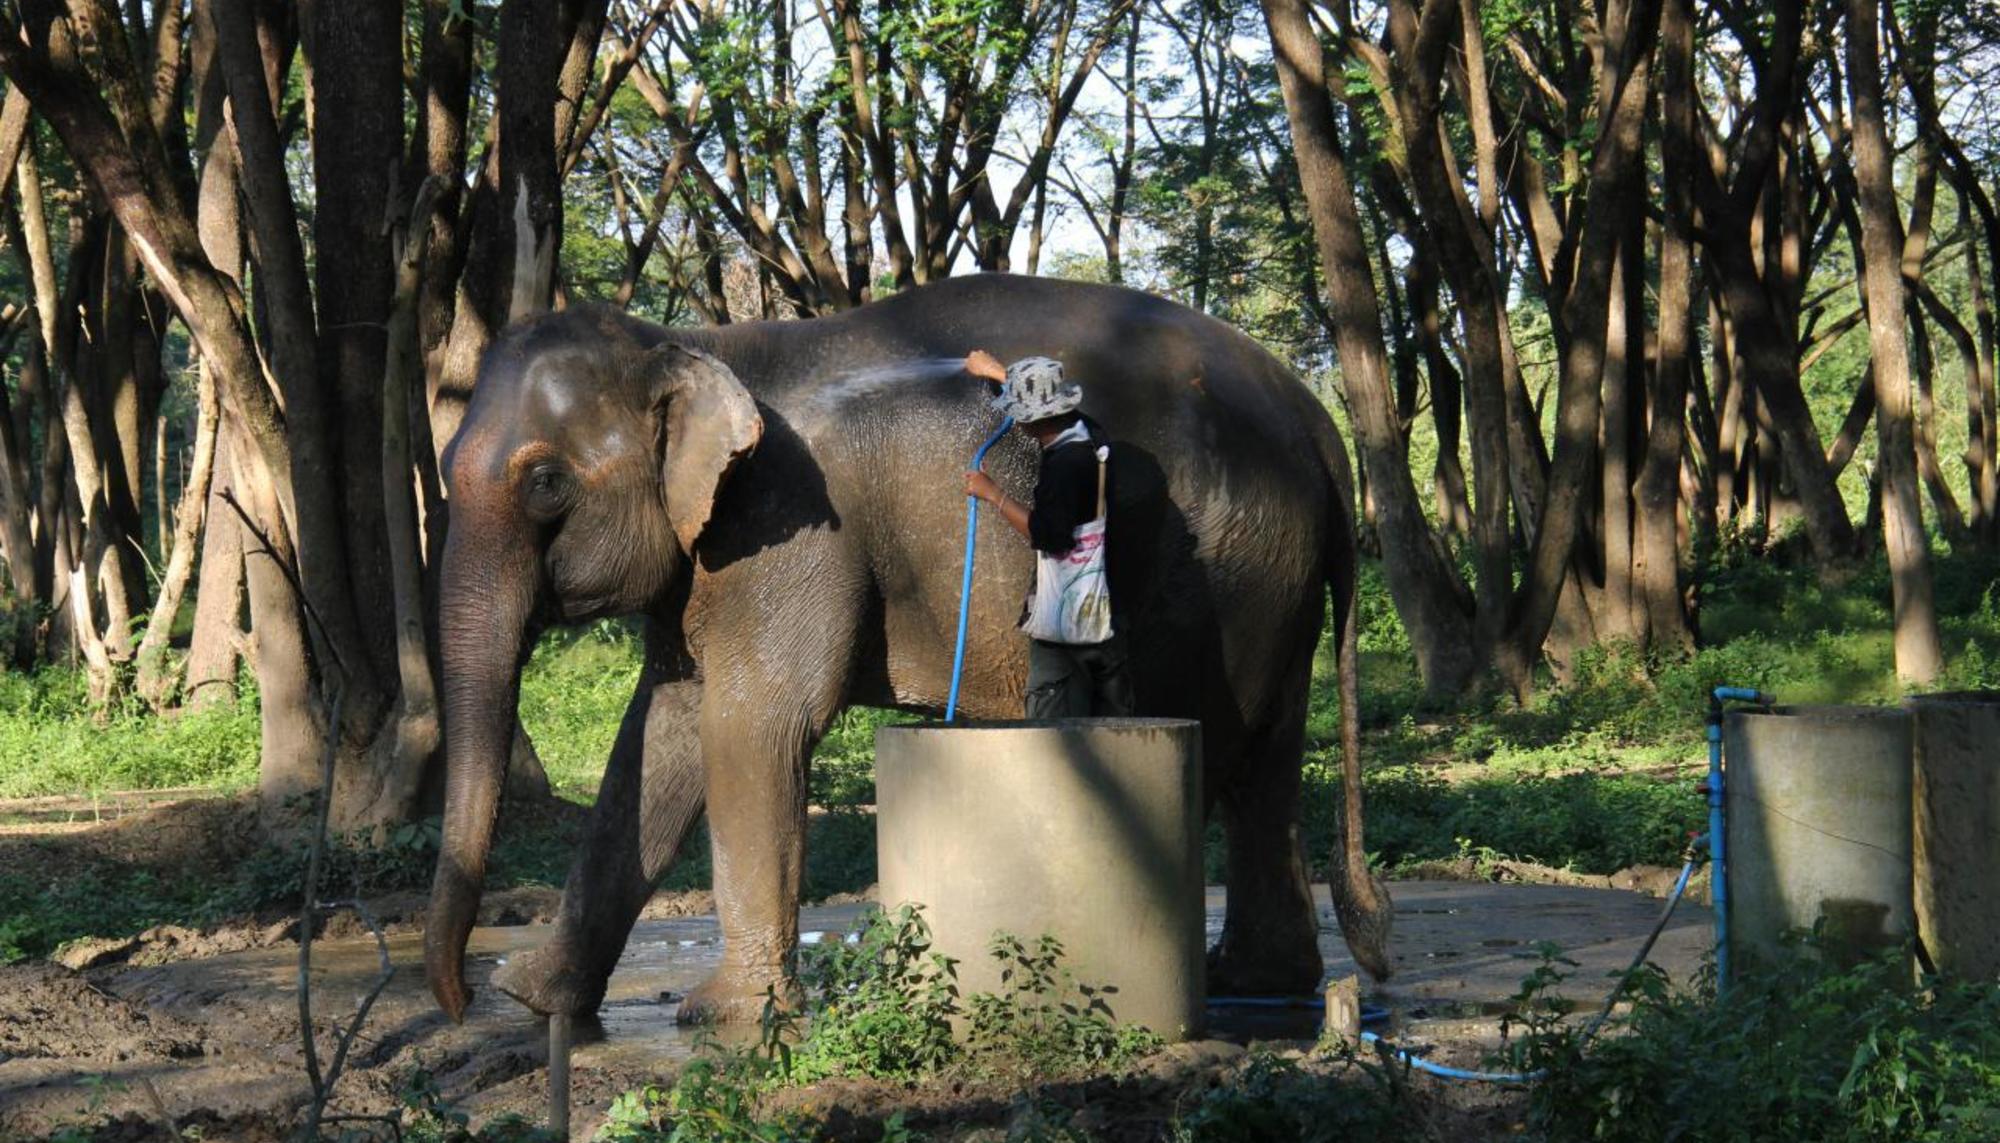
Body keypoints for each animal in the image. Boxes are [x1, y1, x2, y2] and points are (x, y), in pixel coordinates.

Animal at [424, 273, 1392, 1025]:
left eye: (546, 483)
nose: (463, 1001)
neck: (694, 342)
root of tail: (1318, 422)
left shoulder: (793, 523)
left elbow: (754, 726)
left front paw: (724, 1017)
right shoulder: (710, 553)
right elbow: (661, 735)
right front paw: (537, 997)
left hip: (1221, 577)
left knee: (1217, 752)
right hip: (1271, 579)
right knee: (1263, 764)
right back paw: (1254, 982)